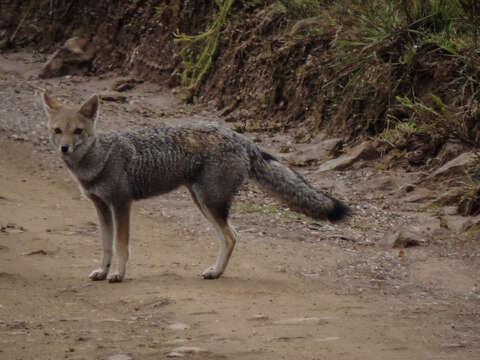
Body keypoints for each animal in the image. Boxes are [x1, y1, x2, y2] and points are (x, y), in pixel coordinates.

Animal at [41, 93, 348, 284]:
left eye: (78, 131)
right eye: (58, 131)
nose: (65, 148)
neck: (99, 159)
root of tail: (241, 138)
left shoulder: (121, 205)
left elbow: (121, 246)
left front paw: (118, 275)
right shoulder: (102, 207)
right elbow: (106, 245)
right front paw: (103, 272)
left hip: (209, 203)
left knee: (231, 237)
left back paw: (215, 273)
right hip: (203, 202)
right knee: (232, 236)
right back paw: (216, 272)